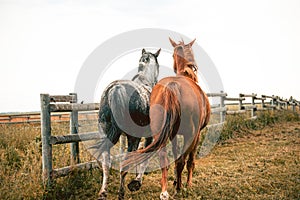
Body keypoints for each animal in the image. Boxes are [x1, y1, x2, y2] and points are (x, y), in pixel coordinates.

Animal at [122, 38, 211, 199]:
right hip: (190, 134)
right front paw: (187, 184)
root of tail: (172, 86)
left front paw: (175, 180)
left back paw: (164, 191)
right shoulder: (197, 134)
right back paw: (179, 188)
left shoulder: (173, 134)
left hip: (159, 133)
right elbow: (190, 161)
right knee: (182, 161)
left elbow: (175, 154)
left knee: (164, 158)